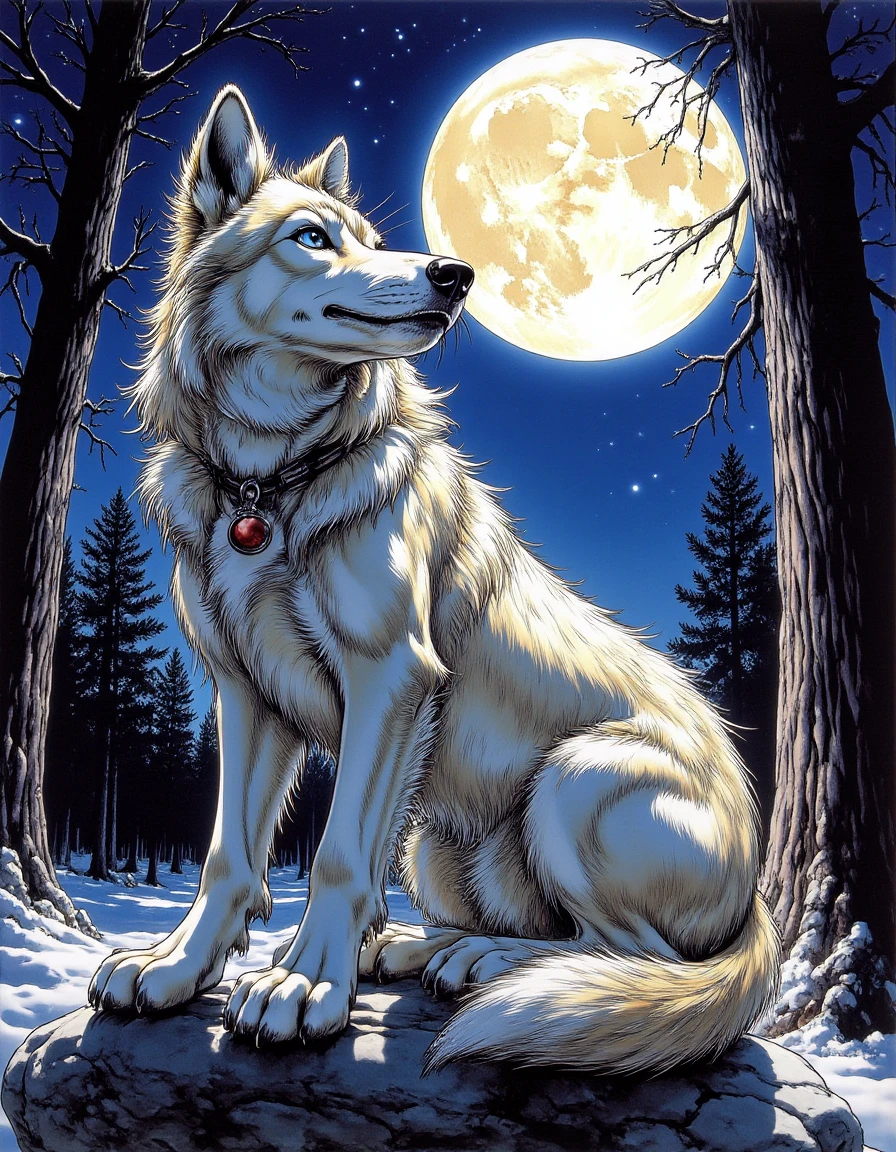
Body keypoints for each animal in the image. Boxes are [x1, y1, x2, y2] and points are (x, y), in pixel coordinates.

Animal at [89, 85, 780, 1075]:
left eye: (372, 237)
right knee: (553, 935)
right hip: (433, 844)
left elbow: (337, 855)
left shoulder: (394, 679)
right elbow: (230, 856)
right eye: (312, 237)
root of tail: (758, 893)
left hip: (574, 780)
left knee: (634, 958)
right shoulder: (246, 694)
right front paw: (178, 968)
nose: (456, 274)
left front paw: (303, 988)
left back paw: (484, 965)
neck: (270, 480)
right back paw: (422, 949)